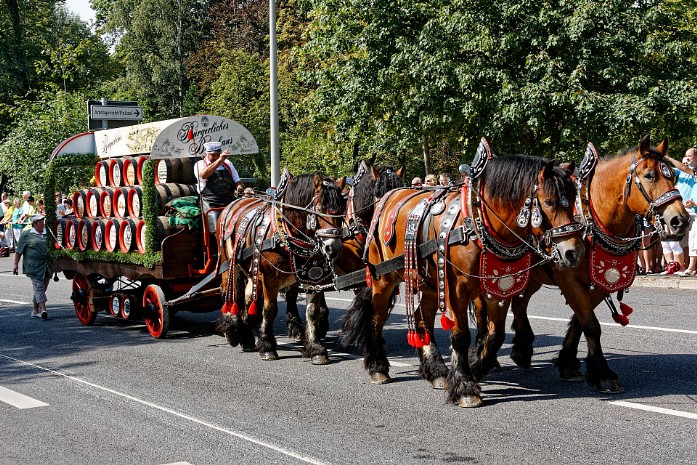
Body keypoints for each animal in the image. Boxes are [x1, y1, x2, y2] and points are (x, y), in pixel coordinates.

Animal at [216, 170, 346, 362]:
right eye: (320, 208)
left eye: (342, 210)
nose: (333, 247)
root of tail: (233, 203)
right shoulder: (269, 278)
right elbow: (270, 310)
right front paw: (268, 345)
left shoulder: (312, 278)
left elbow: (312, 311)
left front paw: (316, 348)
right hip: (229, 263)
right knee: (229, 291)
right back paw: (232, 330)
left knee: (247, 297)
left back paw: (247, 337)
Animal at [340, 140, 584, 408]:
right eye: (549, 202)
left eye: (573, 199)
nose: (573, 252)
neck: (476, 223)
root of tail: (386, 200)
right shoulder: (456, 289)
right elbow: (461, 336)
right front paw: (465, 386)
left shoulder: (498, 288)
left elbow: (495, 335)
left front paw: (477, 367)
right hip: (384, 278)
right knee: (377, 317)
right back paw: (378, 366)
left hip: (428, 282)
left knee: (422, 318)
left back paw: (436, 370)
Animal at [474, 134, 692, 392]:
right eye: (650, 176)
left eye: (673, 176)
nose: (681, 220)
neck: (592, 220)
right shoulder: (567, 277)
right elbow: (591, 324)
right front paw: (602, 372)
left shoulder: (598, 282)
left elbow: (581, 321)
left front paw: (569, 363)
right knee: (483, 310)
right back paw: (486, 354)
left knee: (520, 303)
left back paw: (522, 349)